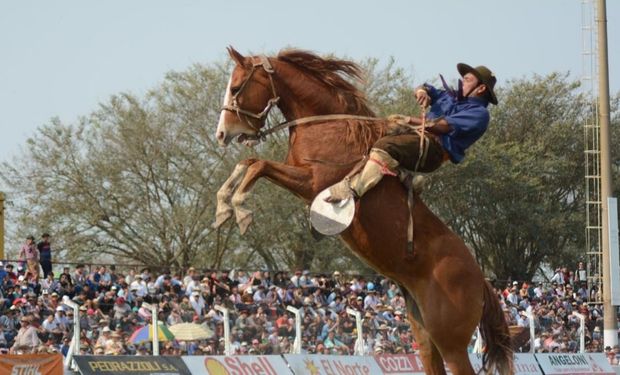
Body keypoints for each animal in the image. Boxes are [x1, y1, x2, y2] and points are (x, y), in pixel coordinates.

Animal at [213, 47, 512, 375]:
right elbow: (249, 163)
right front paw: (223, 206)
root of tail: (482, 281)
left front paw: (240, 209)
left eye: (236, 87)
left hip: (451, 342)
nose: (222, 133)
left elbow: (259, 166)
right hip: (424, 333)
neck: (324, 125)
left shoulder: (313, 181)